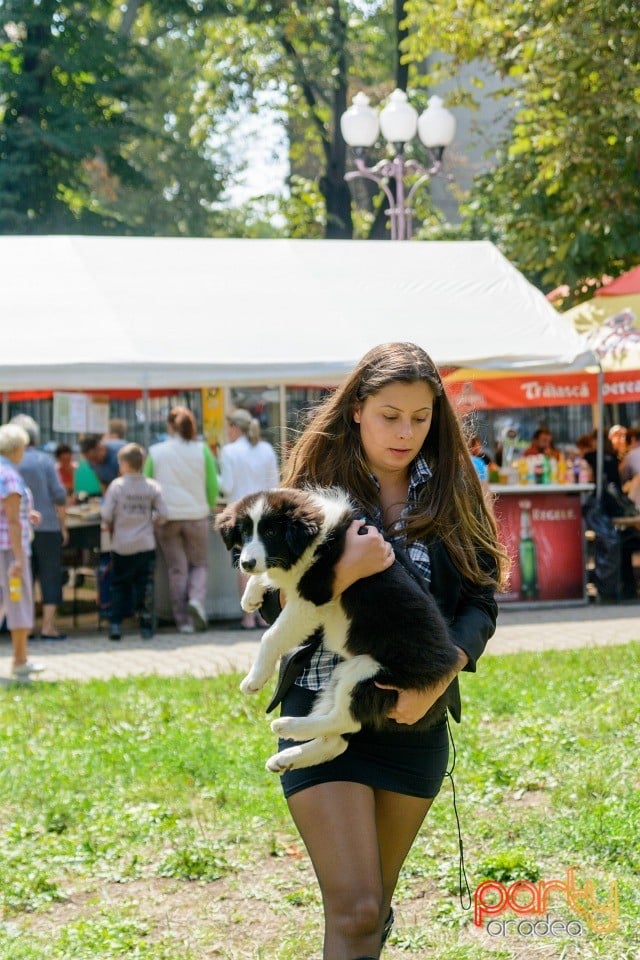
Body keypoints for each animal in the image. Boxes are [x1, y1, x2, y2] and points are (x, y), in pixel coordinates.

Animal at [215, 488, 460, 772]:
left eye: (271, 532)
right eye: (244, 532)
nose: (246, 563)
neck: (312, 539)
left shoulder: (313, 597)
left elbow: (271, 636)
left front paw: (254, 680)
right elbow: (271, 576)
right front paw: (251, 595)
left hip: (370, 673)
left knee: (345, 719)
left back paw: (288, 725)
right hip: (344, 672)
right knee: (337, 740)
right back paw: (286, 756)